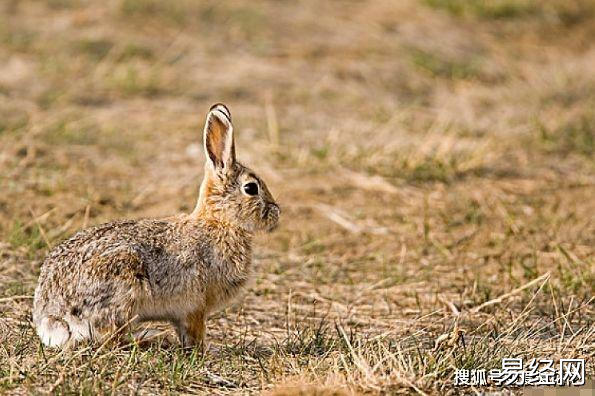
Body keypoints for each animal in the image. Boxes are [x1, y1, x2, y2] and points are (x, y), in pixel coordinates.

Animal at [32, 103, 282, 348]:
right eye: (251, 188)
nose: (276, 212)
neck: (220, 221)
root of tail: (53, 317)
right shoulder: (195, 307)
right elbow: (194, 333)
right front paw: (204, 351)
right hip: (123, 286)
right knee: (108, 338)